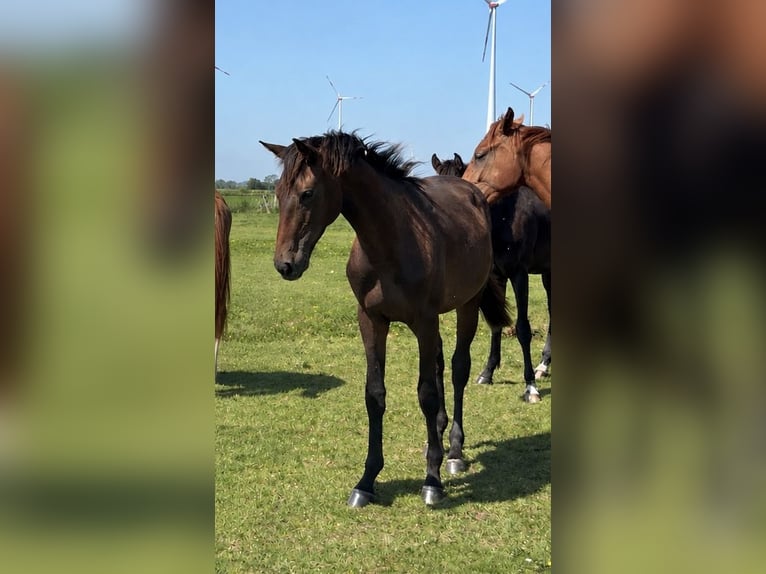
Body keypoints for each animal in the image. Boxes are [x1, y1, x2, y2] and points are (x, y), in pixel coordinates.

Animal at [260, 132, 511, 507]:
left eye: (307, 193)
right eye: (277, 193)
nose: (285, 264)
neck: (390, 243)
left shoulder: (423, 321)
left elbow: (426, 393)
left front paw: (432, 479)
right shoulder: (372, 320)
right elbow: (374, 395)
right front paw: (366, 480)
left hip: (467, 305)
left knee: (457, 369)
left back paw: (453, 451)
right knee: (440, 365)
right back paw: (437, 436)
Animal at [432, 153, 551, 402]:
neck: (503, 216)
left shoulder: (519, 274)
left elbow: (522, 328)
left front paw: (531, 387)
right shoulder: (497, 276)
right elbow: (496, 325)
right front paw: (487, 373)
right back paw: (544, 365)